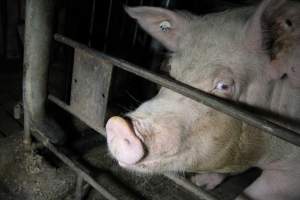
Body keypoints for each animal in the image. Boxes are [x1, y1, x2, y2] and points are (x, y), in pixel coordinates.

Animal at [105, 0, 300, 199]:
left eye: (224, 86)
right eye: (170, 67)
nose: (119, 126)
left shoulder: (291, 174)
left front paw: (199, 184)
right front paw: (200, 183)